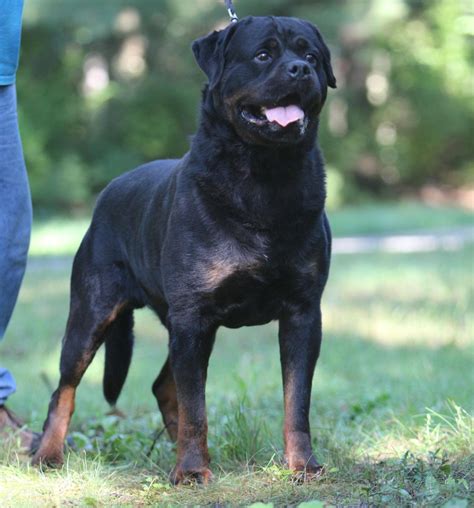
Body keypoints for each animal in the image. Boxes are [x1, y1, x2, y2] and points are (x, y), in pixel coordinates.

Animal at [32, 15, 336, 484]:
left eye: (311, 56)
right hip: (92, 313)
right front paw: (192, 471)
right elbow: (197, 406)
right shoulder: (194, 316)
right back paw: (48, 454)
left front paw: (302, 464)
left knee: (162, 385)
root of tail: (108, 192)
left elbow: (296, 401)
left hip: (176, 324)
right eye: (263, 55)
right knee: (65, 387)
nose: (299, 70)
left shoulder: (302, 313)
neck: (263, 176)